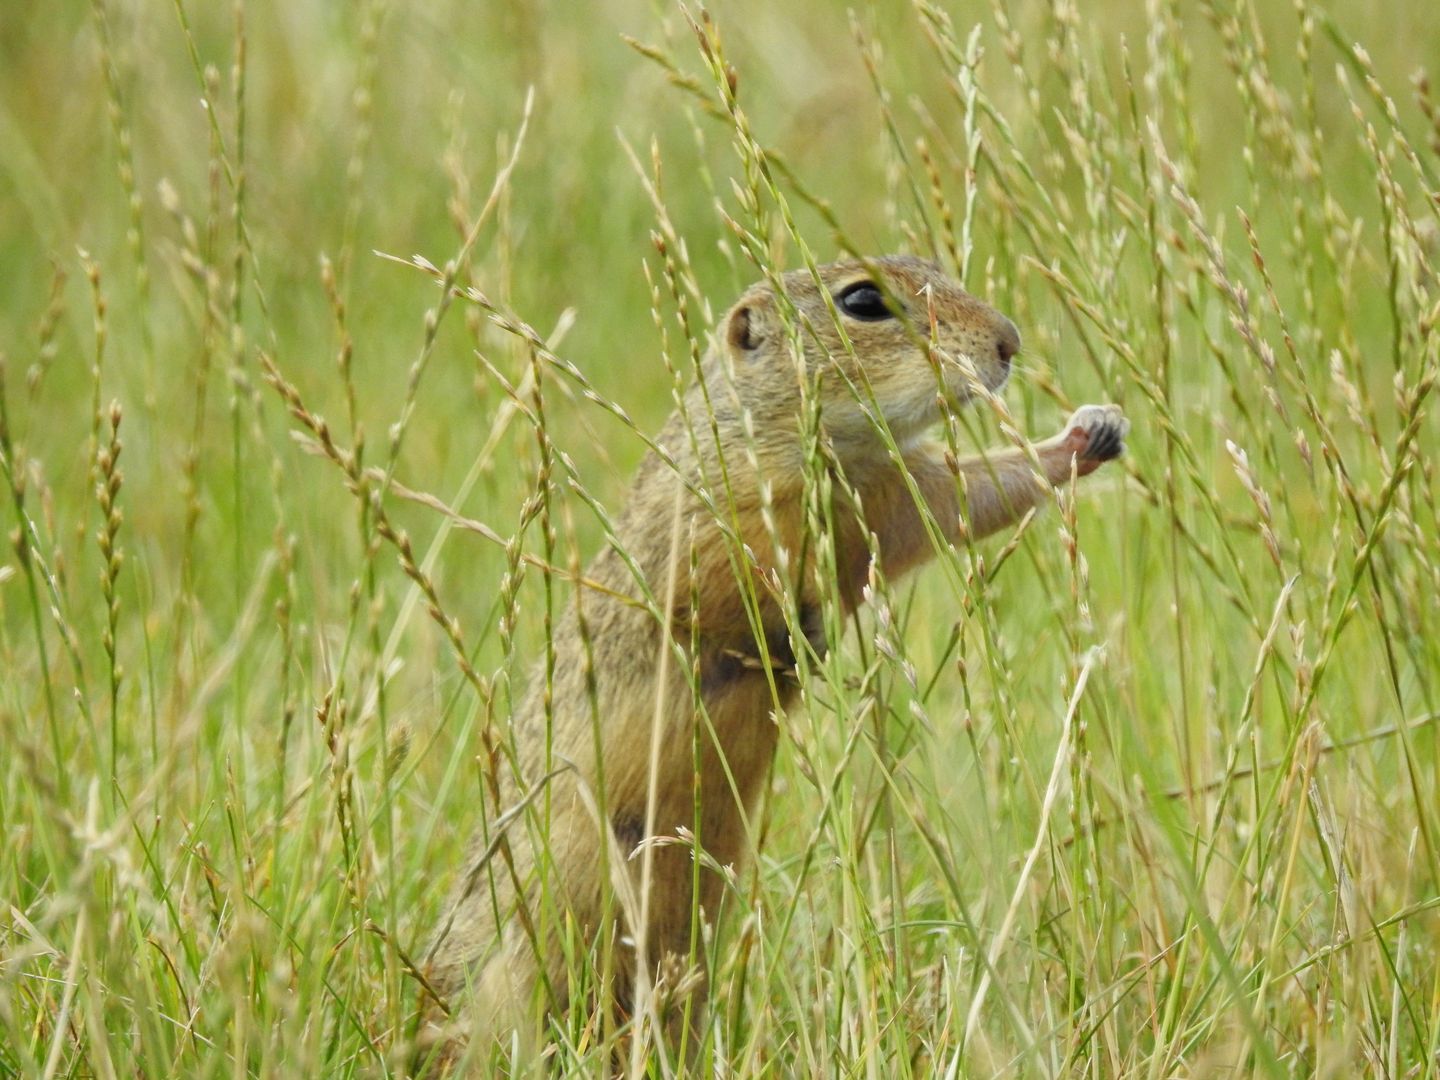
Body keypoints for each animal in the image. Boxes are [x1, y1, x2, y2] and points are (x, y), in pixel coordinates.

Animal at [420, 257, 1128, 1071]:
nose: (1008, 342)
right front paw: (797, 637)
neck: (825, 456)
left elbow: (969, 497)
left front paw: (1090, 432)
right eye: (864, 301)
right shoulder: (716, 512)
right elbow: (712, 588)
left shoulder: (892, 493)